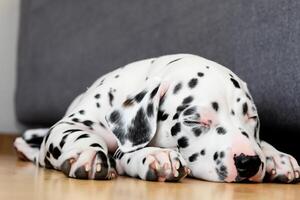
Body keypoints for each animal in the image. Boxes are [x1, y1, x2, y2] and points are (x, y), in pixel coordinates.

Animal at [15, 54, 300, 184]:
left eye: (252, 118)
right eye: (195, 121)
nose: (248, 162)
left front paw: (276, 156)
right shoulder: (68, 126)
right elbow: (78, 134)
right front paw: (90, 153)